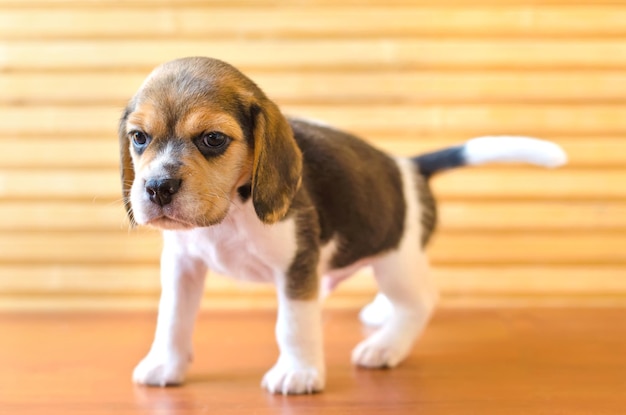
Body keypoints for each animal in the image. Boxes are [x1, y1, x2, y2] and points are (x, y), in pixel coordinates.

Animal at [118, 57, 564, 394]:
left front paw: (297, 373)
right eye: (139, 138)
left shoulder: (297, 268)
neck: (230, 213)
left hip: (396, 263)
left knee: (420, 302)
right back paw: (381, 316)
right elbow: (172, 318)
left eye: (212, 139)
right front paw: (166, 364)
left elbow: (293, 325)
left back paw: (385, 347)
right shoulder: (182, 266)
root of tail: (408, 168)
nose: (157, 187)